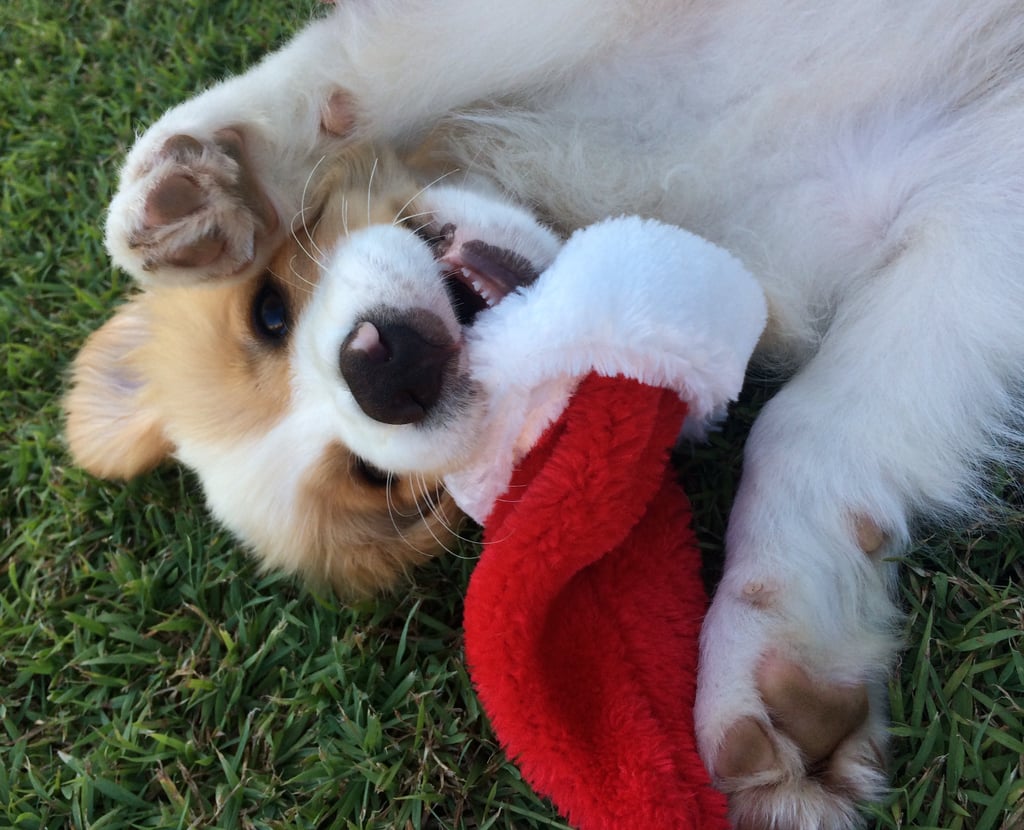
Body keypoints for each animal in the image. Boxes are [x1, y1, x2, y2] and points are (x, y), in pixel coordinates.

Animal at [64, 3, 1024, 826]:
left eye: (268, 311)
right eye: (377, 480)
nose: (387, 374)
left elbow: (384, 55)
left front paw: (216, 169)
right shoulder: (963, 210)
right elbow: (820, 424)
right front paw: (781, 663)